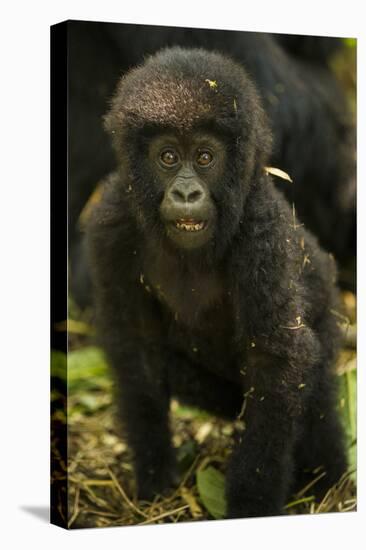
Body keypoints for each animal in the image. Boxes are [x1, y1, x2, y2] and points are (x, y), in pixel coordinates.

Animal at [86, 47, 346, 520]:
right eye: (169, 157)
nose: (187, 194)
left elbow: (276, 359)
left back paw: (326, 481)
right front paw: (156, 477)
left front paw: (251, 505)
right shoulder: (111, 224)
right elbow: (136, 350)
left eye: (205, 158)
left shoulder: (263, 229)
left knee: (315, 388)